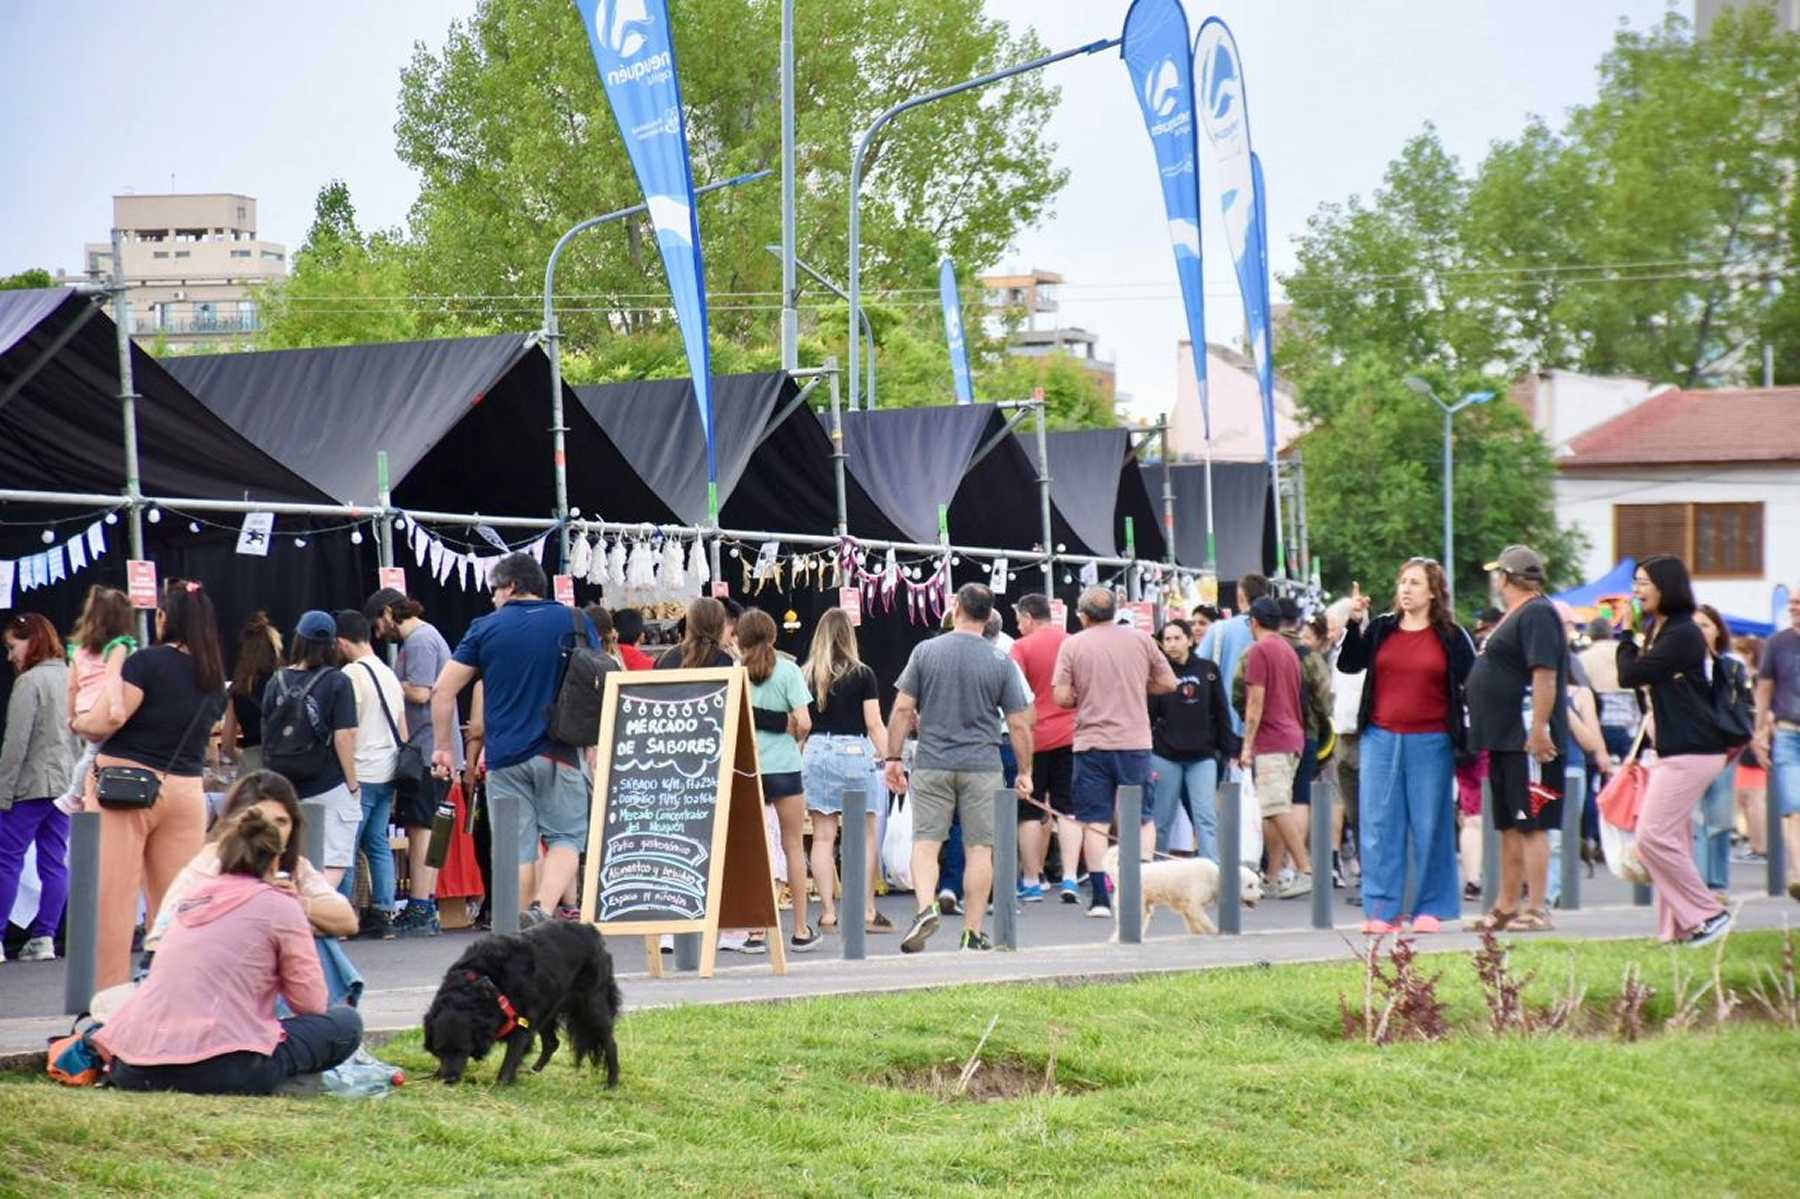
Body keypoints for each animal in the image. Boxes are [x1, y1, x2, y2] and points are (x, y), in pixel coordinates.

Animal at [423, 914, 626, 1080]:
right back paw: (534, 1070)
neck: (483, 980)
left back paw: (612, 1082)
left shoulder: (523, 1020)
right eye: (439, 1050)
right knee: (552, 1043)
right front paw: (436, 1074)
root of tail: (592, 931)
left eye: (463, 1049)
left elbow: (511, 1060)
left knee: (611, 1043)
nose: (449, 1080)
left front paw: (501, 1084)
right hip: (549, 1006)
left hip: (591, 1005)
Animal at [1094, 846, 1267, 936]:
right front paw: (1214, 931)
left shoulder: (1187, 909)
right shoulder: (1194, 906)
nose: (1262, 895)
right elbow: (1205, 922)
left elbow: (1194, 924)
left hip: (1145, 910)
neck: (1215, 877)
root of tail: (1118, 873)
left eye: (1257, 884)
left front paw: (1198, 933)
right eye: (1250, 885)